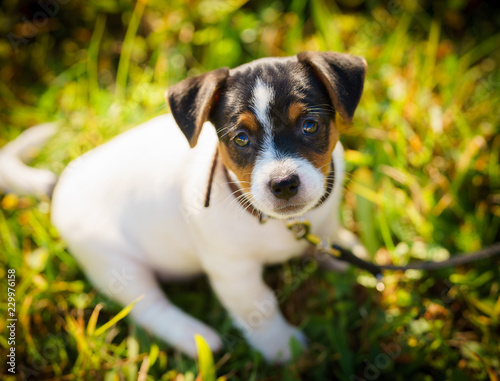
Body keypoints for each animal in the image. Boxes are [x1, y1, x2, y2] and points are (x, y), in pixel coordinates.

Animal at [0, 51, 368, 362]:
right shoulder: (233, 271)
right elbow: (259, 308)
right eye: (241, 139)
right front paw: (282, 348)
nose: (284, 183)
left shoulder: (323, 220)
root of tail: (61, 184)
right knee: (149, 307)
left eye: (310, 126)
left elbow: (328, 236)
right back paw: (197, 338)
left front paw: (345, 253)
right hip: (115, 266)